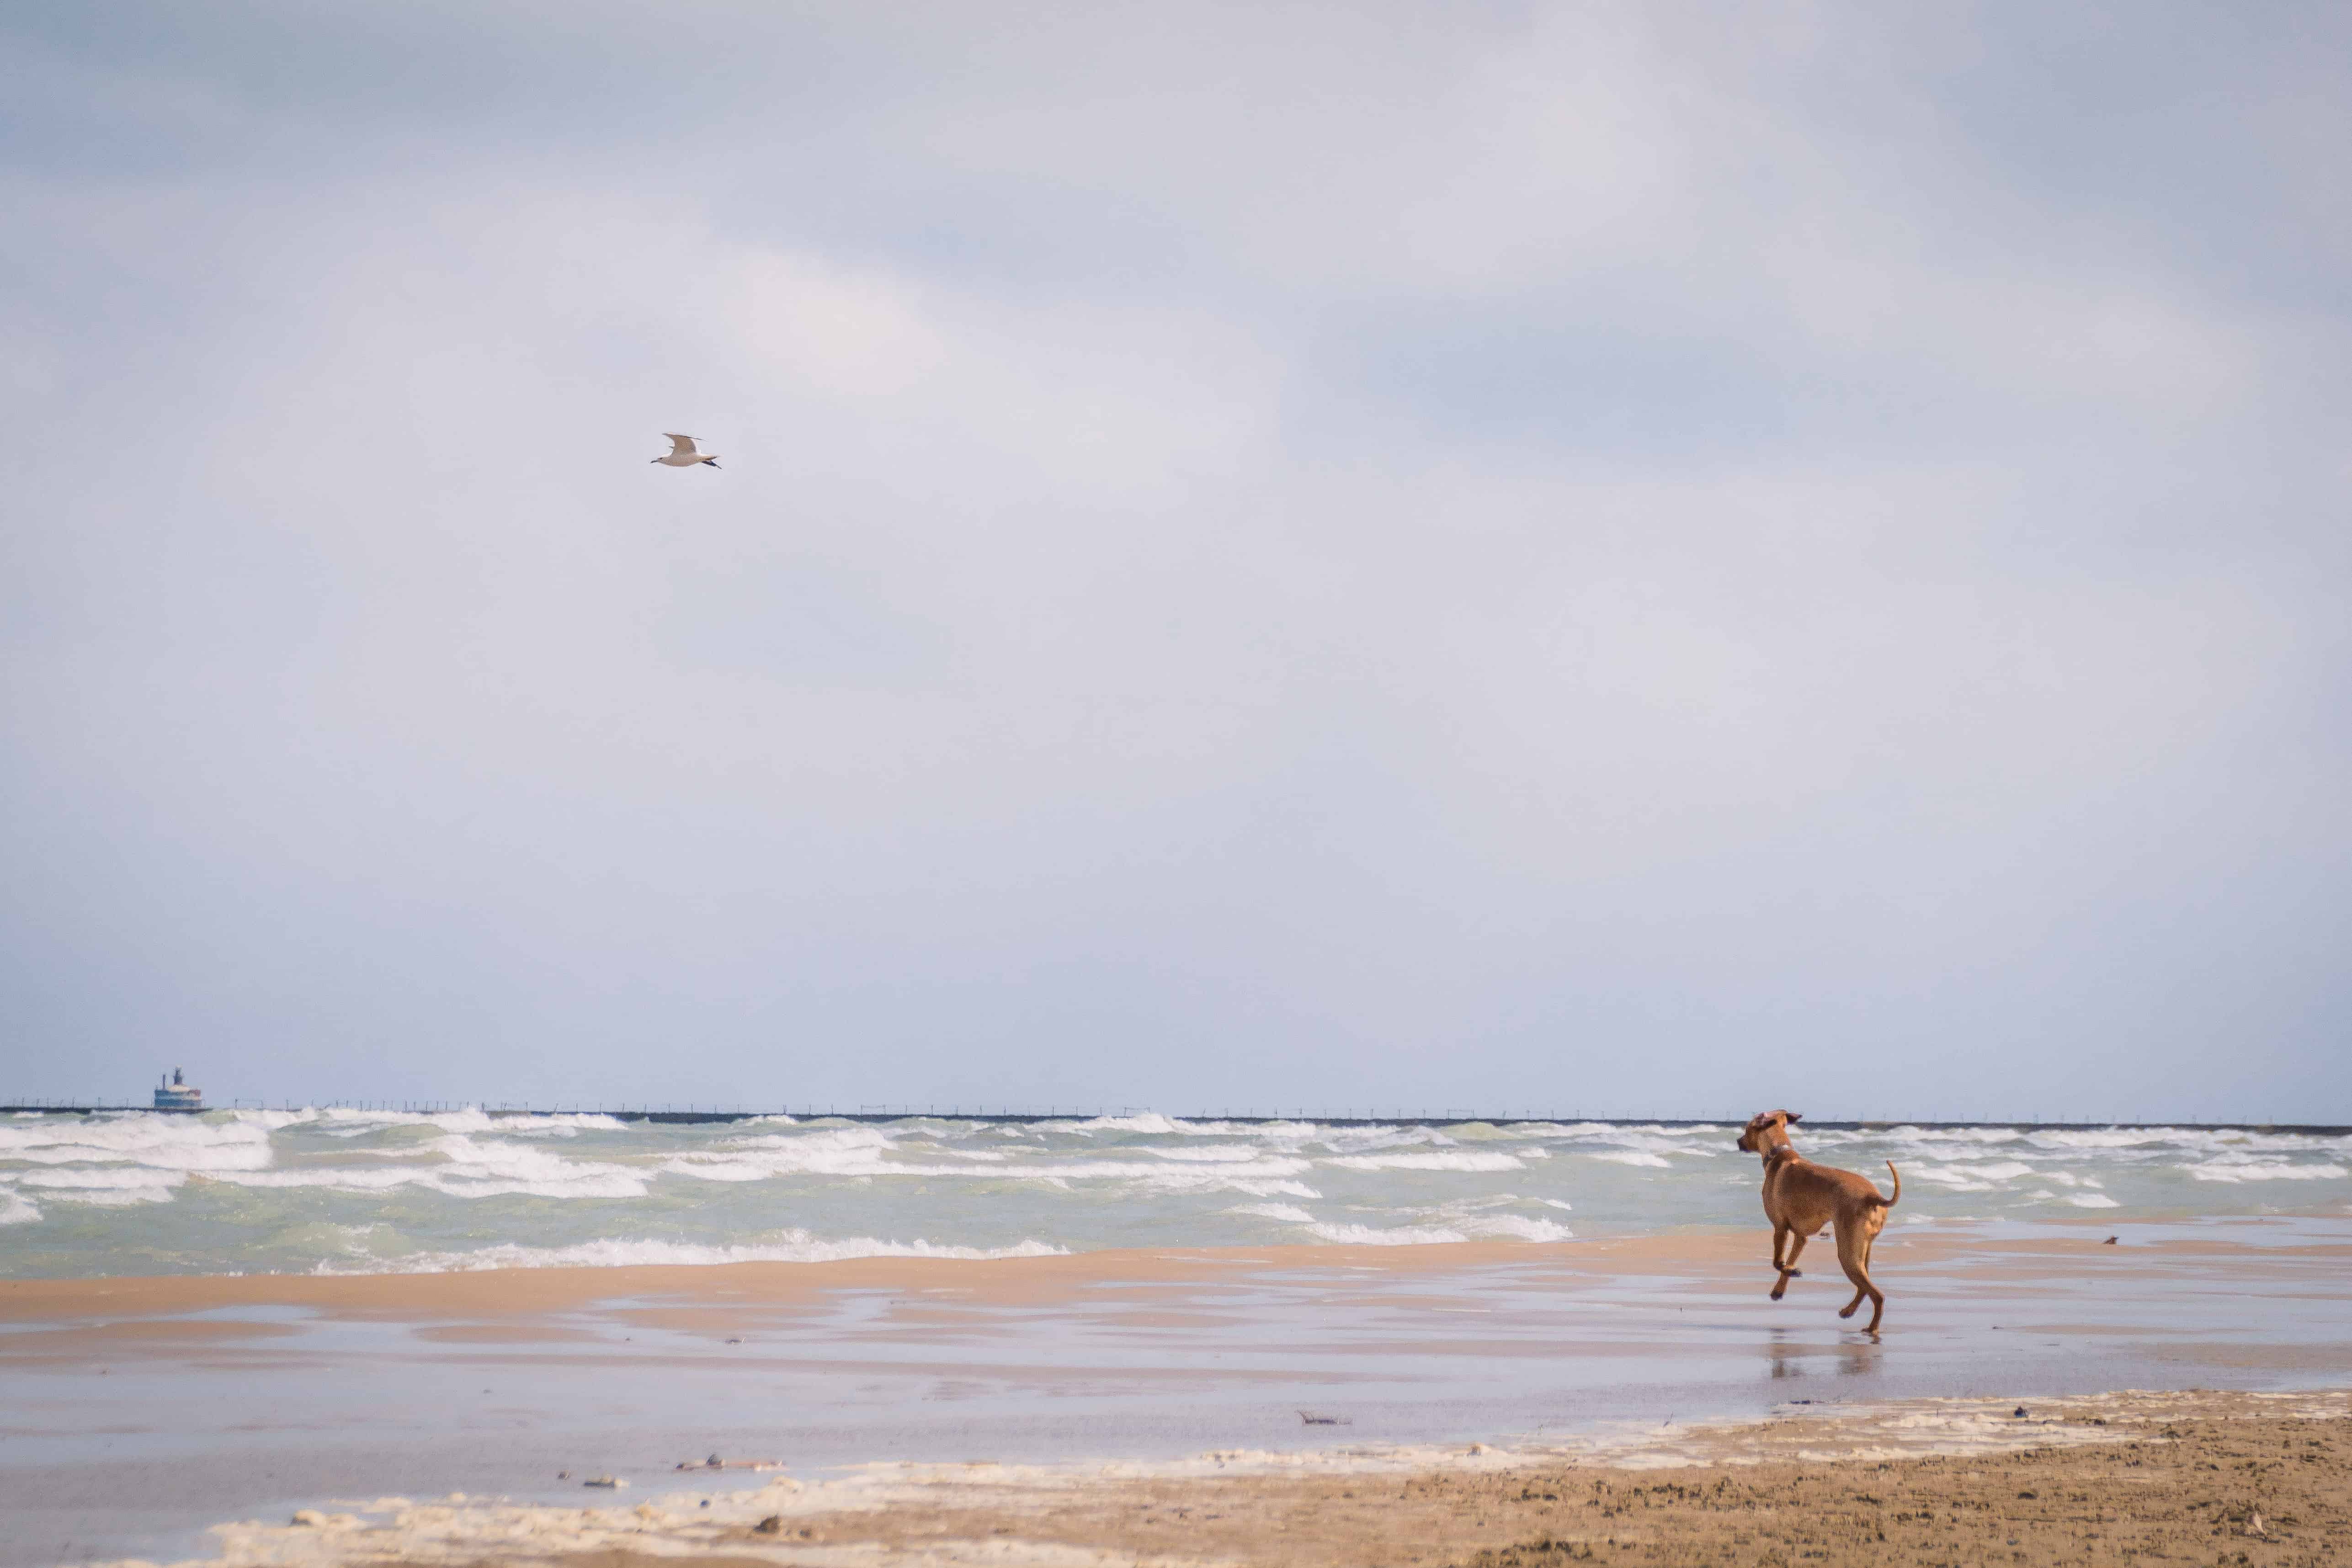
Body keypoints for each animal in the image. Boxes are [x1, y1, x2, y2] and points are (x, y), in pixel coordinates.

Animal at [1740, 1109, 1900, 1335]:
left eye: (1747, 1129)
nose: (1739, 1141)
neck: (1779, 1154)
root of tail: (1873, 1197)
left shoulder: (1780, 1228)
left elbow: (1778, 1262)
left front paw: (1793, 1272)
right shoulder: (1800, 1237)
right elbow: (1789, 1260)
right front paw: (1780, 1289)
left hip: (1847, 1252)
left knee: (1876, 1294)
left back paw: (1872, 1328)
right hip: (1863, 1250)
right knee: (1864, 1287)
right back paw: (1849, 1311)